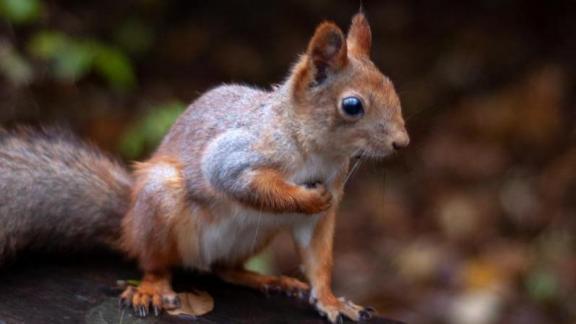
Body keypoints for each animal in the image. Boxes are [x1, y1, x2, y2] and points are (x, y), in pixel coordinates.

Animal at [0, 11, 410, 322]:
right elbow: (235, 179)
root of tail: (127, 223)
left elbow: (318, 260)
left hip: (252, 236)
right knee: (155, 262)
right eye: (352, 106)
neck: (319, 151)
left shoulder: (319, 217)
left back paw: (265, 280)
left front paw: (330, 300)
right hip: (159, 204)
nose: (401, 142)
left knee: (223, 268)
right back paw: (152, 288)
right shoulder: (236, 153)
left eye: (391, 86)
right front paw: (306, 197)